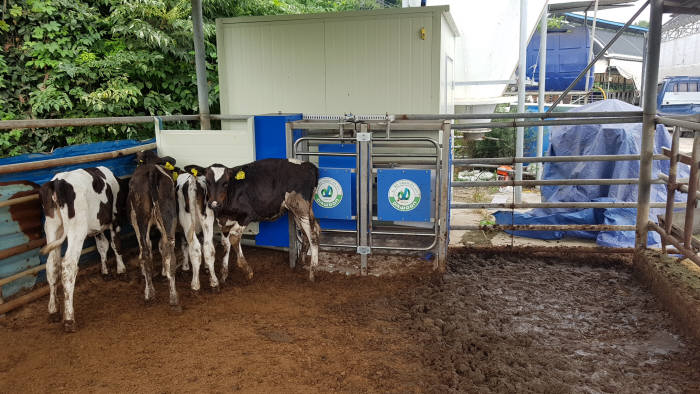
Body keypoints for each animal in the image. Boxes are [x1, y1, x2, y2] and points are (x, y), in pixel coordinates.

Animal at [38, 166, 126, 332]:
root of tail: (57, 181)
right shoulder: (115, 219)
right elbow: (115, 244)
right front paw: (121, 270)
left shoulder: (96, 228)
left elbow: (102, 246)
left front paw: (105, 271)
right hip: (77, 229)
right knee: (68, 265)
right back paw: (69, 319)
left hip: (52, 227)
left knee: (52, 265)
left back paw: (53, 310)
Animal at [129, 151, 180, 310]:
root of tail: (152, 170)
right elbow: (160, 246)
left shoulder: (134, 221)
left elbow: (147, 247)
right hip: (169, 216)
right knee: (169, 250)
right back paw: (173, 298)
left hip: (141, 218)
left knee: (146, 251)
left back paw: (149, 292)